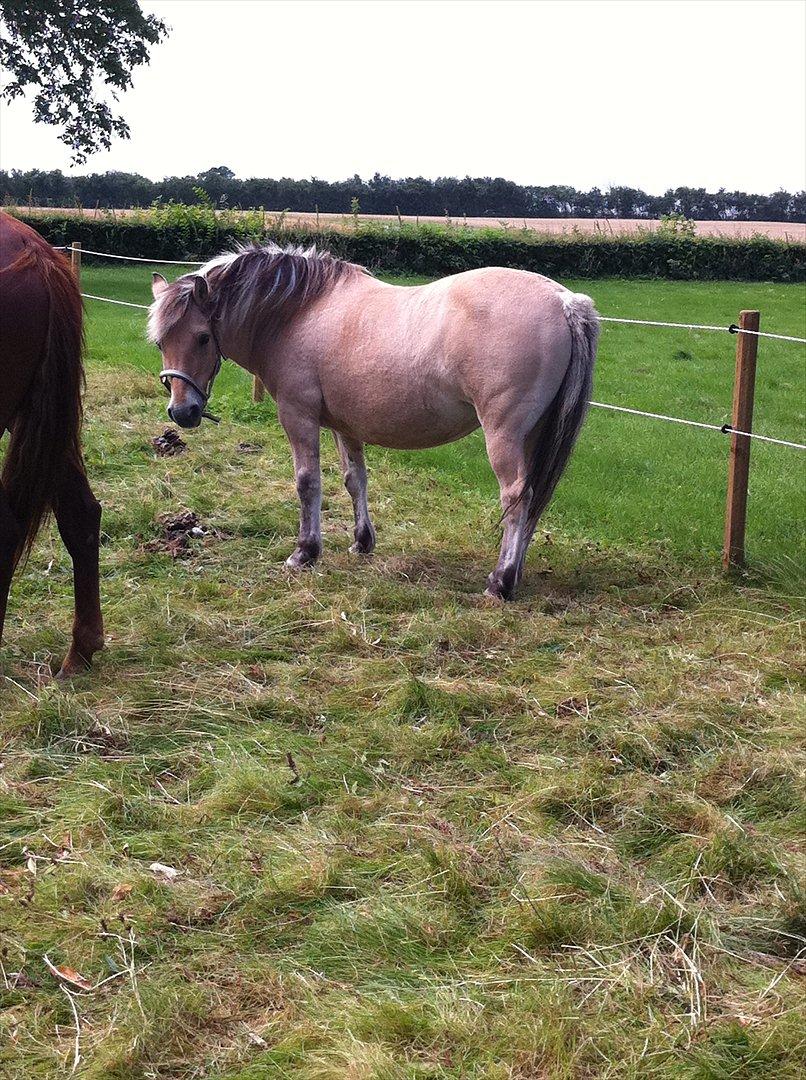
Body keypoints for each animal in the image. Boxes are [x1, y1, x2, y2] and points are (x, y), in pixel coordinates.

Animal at [149, 243, 596, 600]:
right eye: (160, 342)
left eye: (203, 336)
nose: (182, 412)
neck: (297, 313)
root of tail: (564, 301)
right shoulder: (344, 424)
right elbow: (355, 479)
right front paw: (362, 542)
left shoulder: (298, 415)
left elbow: (307, 482)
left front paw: (305, 552)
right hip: (534, 434)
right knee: (534, 500)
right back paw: (514, 573)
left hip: (504, 435)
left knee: (517, 497)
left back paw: (500, 582)